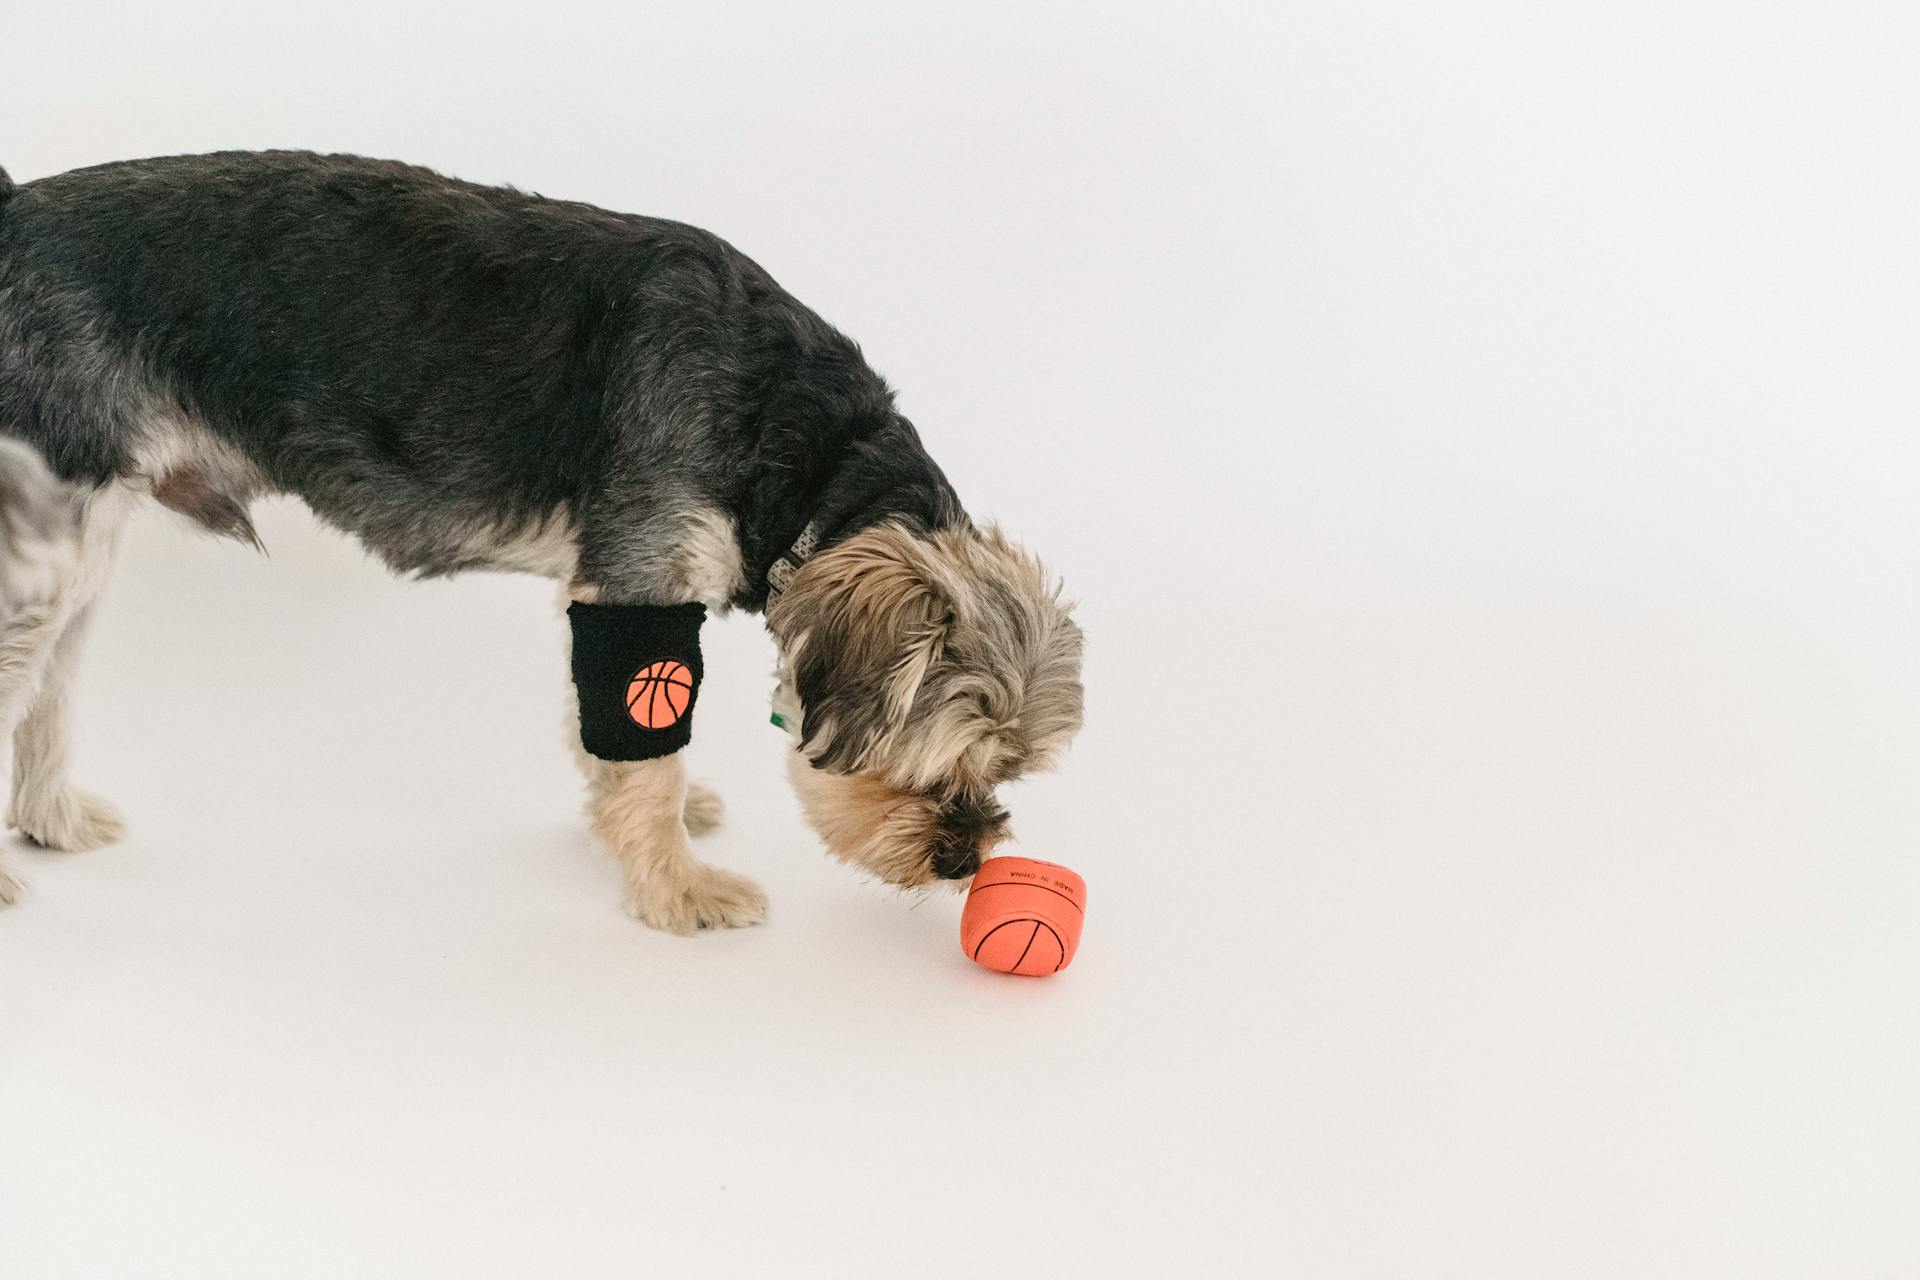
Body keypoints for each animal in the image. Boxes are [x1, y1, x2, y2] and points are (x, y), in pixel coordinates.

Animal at [0, 152, 1082, 932]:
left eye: (1011, 769)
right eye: (947, 758)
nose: (963, 861)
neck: (805, 447)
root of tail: (14, 213)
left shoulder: (608, 591)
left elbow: (609, 731)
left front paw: (639, 822)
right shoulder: (646, 584)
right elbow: (650, 753)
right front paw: (679, 887)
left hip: (85, 545)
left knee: (47, 693)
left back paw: (53, 822)